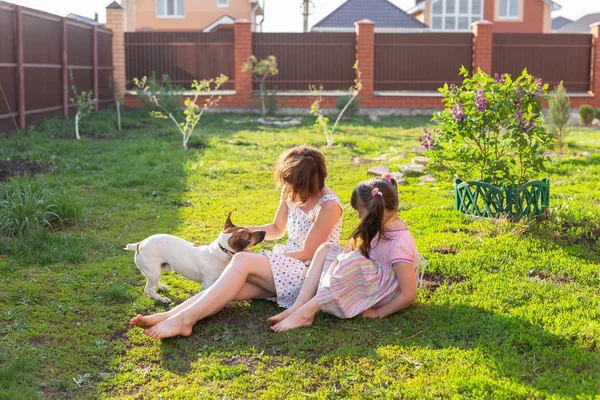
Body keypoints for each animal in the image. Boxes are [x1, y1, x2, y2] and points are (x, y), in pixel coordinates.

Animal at [124, 212, 264, 304]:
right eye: (250, 235)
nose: (264, 232)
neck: (220, 251)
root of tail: (139, 244)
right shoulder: (208, 284)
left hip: (155, 270)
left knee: (152, 282)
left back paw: (162, 287)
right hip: (154, 271)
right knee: (148, 289)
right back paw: (162, 299)